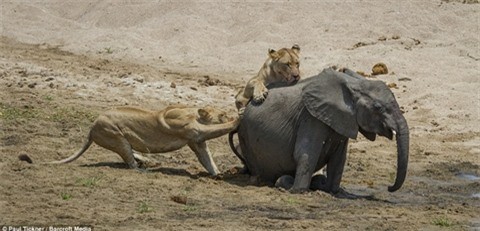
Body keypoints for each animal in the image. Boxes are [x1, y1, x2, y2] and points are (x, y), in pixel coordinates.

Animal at [51, 104, 239, 175]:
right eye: (222, 114)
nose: (230, 114)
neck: (193, 113)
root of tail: (91, 128)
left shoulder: (197, 142)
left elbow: (208, 160)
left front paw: (218, 174)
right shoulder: (195, 131)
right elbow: (216, 129)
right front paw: (237, 120)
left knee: (131, 154)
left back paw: (147, 160)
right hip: (115, 135)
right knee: (130, 162)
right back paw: (143, 168)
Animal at [230, 67, 408, 198]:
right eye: (378, 108)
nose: (389, 187)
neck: (352, 85)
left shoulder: (342, 122)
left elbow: (338, 159)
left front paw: (333, 190)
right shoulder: (310, 117)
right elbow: (306, 153)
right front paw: (298, 191)